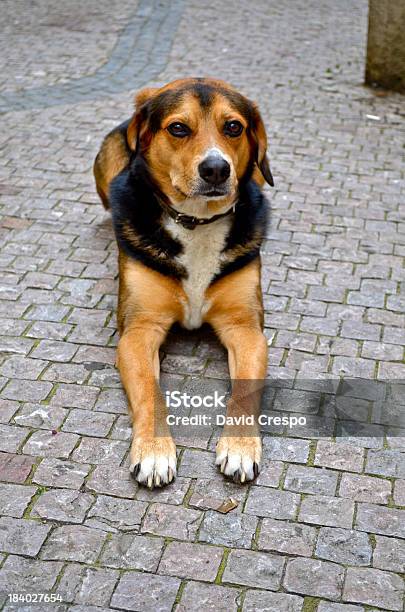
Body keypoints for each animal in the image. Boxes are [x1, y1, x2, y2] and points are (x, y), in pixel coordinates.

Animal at [93, 77, 274, 488]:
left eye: (233, 127)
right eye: (178, 128)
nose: (216, 169)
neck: (196, 222)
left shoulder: (246, 329)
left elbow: (244, 390)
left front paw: (240, 446)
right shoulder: (139, 330)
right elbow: (151, 392)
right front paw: (154, 451)